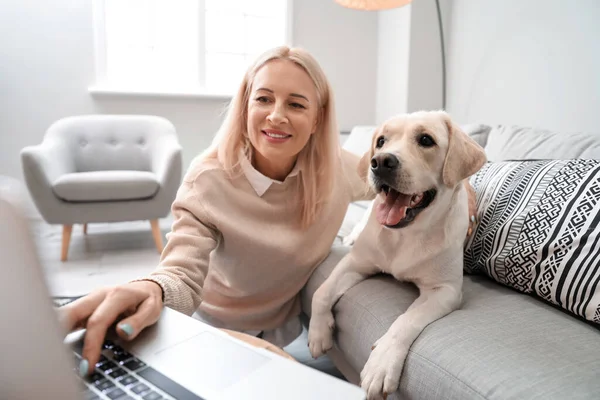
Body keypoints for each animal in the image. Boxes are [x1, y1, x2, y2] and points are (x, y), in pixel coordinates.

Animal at [308, 111, 486, 400]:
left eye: (426, 140)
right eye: (381, 141)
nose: (380, 162)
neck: (405, 235)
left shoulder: (445, 290)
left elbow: (406, 321)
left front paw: (381, 364)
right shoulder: (355, 262)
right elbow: (321, 292)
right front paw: (318, 332)